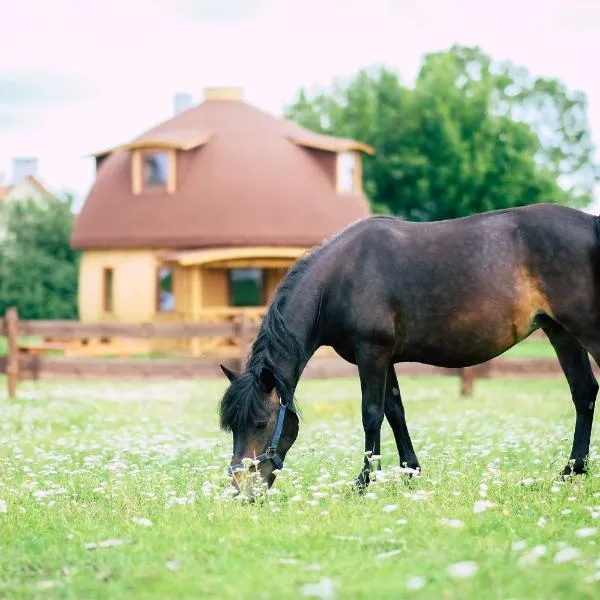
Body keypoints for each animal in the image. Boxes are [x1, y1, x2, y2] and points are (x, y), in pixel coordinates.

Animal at [219, 204, 600, 494]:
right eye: (233, 427)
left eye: (259, 423)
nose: (242, 491)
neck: (341, 278)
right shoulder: (384, 357)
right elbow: (395, 411)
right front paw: (409, 471)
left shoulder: (371, 353)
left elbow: (371, 413)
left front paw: (364, 481)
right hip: (560, 331)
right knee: (583, 391)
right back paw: (571, 470)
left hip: (585, 328)